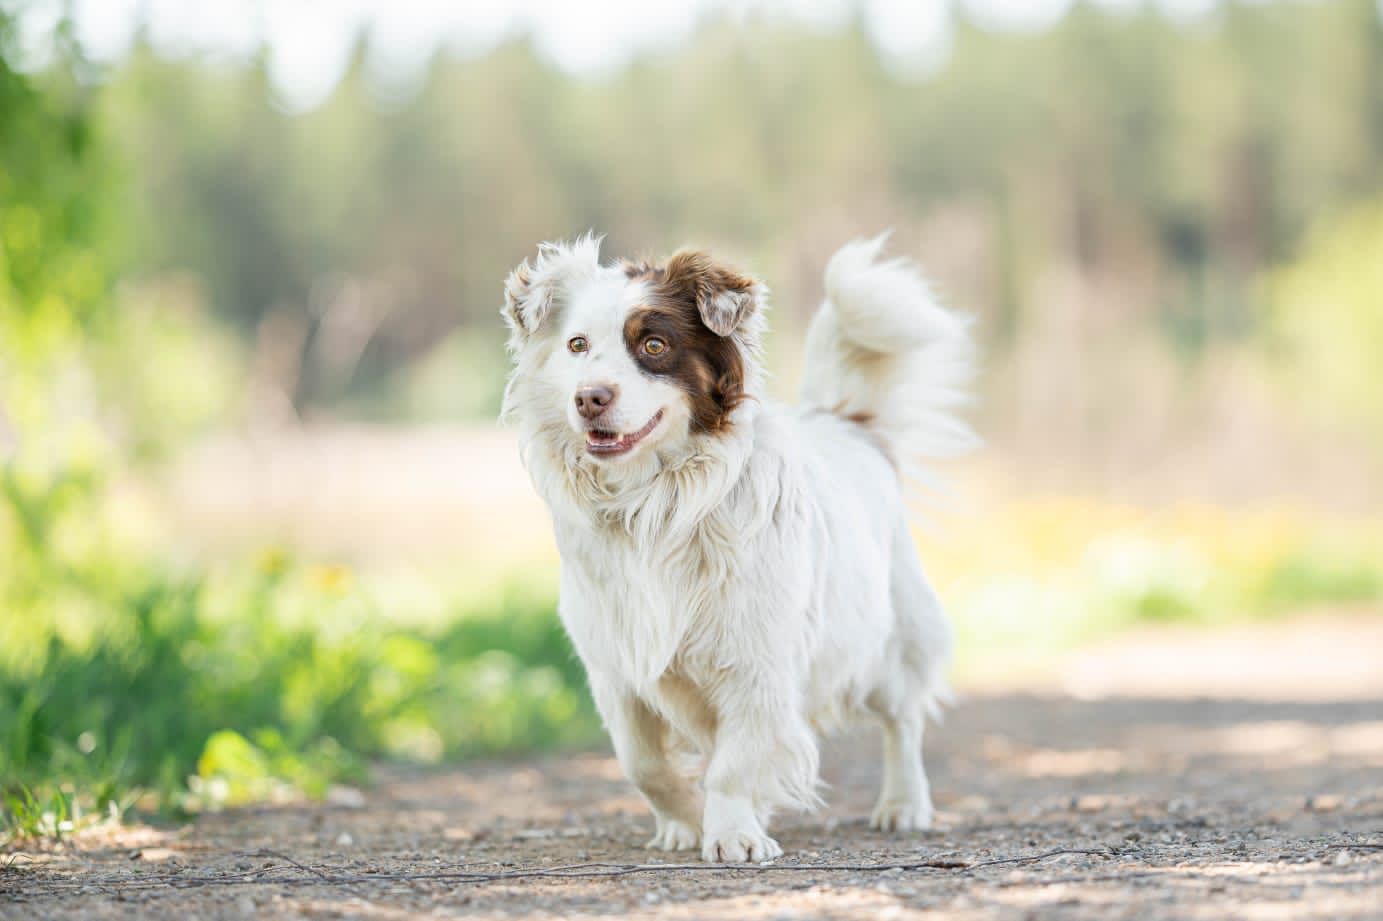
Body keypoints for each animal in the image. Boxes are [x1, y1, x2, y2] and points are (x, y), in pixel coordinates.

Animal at [503, 230, 979, 862]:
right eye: (576, 345)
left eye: (654, 344)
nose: (589, 398)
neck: (652, 503)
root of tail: (847, 425)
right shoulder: (615, 670)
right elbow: (644, 763)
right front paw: (685, 821)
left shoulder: (759, 661)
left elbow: (734, 763)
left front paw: (731, 834)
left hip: (893, 640)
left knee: (903, 720)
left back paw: (903, 805)